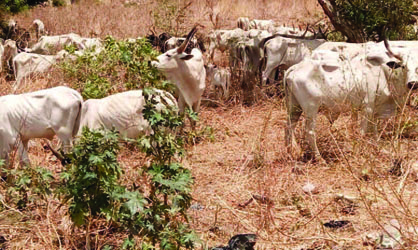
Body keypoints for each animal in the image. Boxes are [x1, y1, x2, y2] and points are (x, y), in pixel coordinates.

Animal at [284, 41, 418, 160]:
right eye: (404, 66)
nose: (412, 84)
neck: (384, 73)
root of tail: (294, 68)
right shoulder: (367, 107)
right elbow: (362, 131)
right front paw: (358, 152)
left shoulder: (375, 109)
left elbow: (374, 131)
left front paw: (378, 149)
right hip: (311, 109)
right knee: (310, 132)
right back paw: (319, 158)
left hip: (294, 107)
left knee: (289, 127)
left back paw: (290, 153)